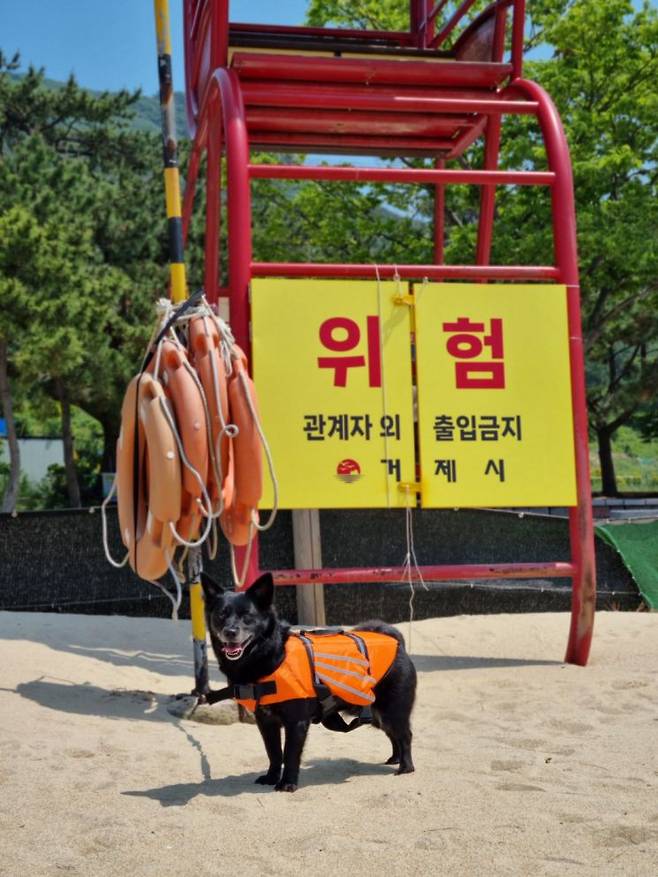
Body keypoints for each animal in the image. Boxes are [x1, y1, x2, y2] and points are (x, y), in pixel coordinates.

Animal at [200, 572, 416, 792]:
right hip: (378, 715)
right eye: (221, 615)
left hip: (392, 711)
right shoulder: (266, 722)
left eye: (247, 616)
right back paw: (395, 758)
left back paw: (405, 766)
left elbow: (290, 755)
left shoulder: (296, 723)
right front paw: (271, 777)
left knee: (405, 735)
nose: (230, 631)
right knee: (393, 735)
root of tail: (396, 642)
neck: (274, 655)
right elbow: (274, 753)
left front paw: (287, 783)